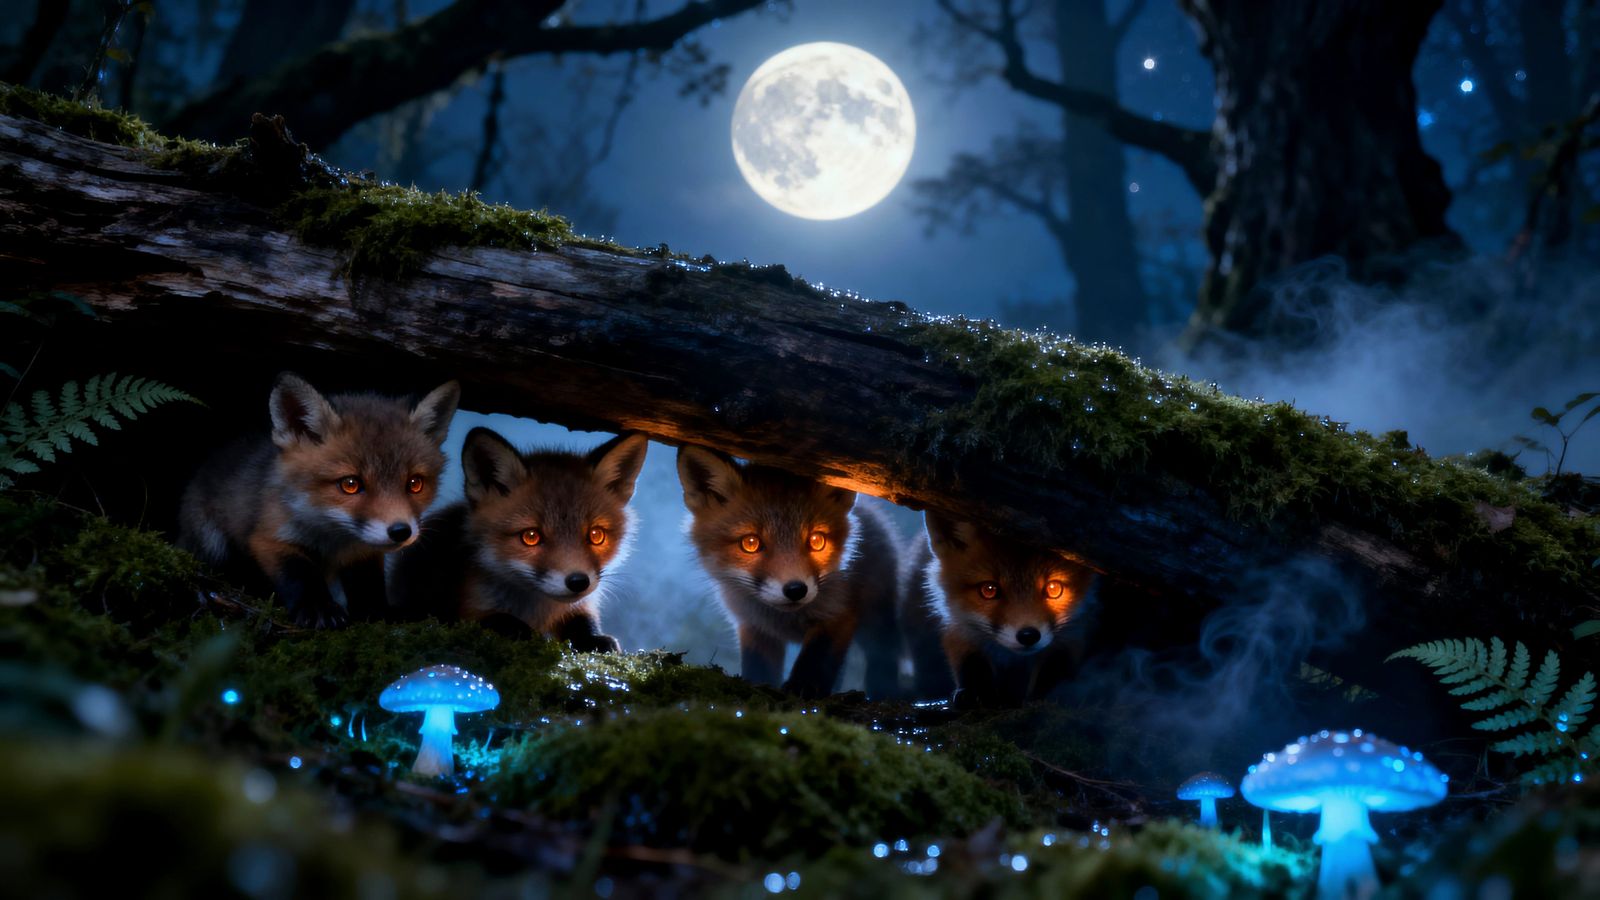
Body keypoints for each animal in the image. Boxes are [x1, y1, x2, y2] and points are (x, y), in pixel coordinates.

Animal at [178, 373, 460, 628]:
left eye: (414, 484)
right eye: (350, 484)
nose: (401, 531)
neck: (333, 541)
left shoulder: (363, 553)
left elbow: (368, 585)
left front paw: (379, 613)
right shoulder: (270, 536)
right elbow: (299, 574)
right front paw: (318, 608)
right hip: (212, 543)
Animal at [388, 427, 649, 652]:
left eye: (596, 535)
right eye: (531, 537)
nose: (578, 582)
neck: (539, 609)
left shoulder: (579, 607)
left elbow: (583, 622)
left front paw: (593, 638)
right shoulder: (468, 610)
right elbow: (502, 621)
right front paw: (529, 634)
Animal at [676, 445, 899, 699]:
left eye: (816, 541)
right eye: (750, 543)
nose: (795, 590)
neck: (786, 620)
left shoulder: (839, 613)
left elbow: (817, 657)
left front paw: (804, 687)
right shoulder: (754, 626)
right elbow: (759, 667)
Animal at [899, 512, 1097, 707]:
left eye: (1054, 588)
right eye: (989, 590)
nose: (1028, 636)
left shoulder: (1074, 631)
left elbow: (1054, 670)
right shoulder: (960, 625)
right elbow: (971, 662)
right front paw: (975, 692)